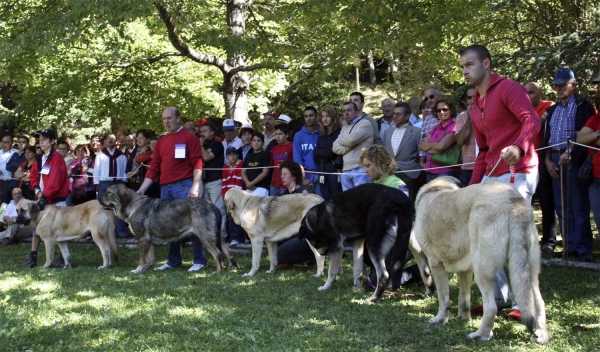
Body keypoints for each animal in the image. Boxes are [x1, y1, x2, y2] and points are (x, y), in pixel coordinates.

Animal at [99, 183, 236, 274]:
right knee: (228, 251)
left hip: (205, 237)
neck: (132, 205)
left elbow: (142, 258)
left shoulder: (142, 239)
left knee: (218, 254)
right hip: (217, 237)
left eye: (109, 192)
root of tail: (213, 206)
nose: (98, 197)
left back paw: (218, 272)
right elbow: (150, 258)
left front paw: (137, 270)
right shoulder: (150, 241)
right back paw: (230, 267)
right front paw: (146, 268)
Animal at [298, 183, 428, 302]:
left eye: (313, 242)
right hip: (412, 243)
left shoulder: (336, 246)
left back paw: (374, 298)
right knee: (425, 271)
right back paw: (428, 293)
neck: (318, 218)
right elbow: (357, 269)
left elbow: (331, 271)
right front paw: (357, 287)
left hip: (373, 245)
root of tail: (402, 203)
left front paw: (326, 286)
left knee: (384, 275)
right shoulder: (358, 243)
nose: (322, 254)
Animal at [414, 176, 548, 344]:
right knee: (538, 302)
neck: (437, 189)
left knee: (490, 307)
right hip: (527, 270)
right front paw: (464, 319)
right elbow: (464, 300)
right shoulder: (466, 270)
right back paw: (541, 336)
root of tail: (513, 202)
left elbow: (443, 299)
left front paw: (440, 319)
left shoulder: (435, 264)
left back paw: (481, 335)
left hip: (482, 269)